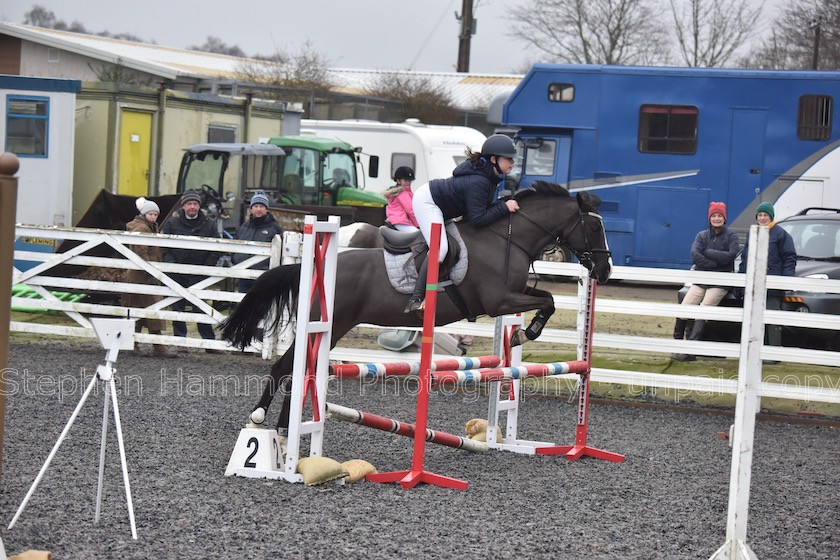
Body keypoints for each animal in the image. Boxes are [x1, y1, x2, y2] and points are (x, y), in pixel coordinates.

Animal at [220, 179, 612, 428]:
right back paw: (263, 419)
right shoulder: (498, 300)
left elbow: (547, 299)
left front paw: (519, 335)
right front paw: (525, 334)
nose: (605, 271)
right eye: (595, 229)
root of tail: (312, 267)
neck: (506, 239)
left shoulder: (508, 297)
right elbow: (548, 300)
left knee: (299, 367)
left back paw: (281, 426)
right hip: (332, 323)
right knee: (290, 365)